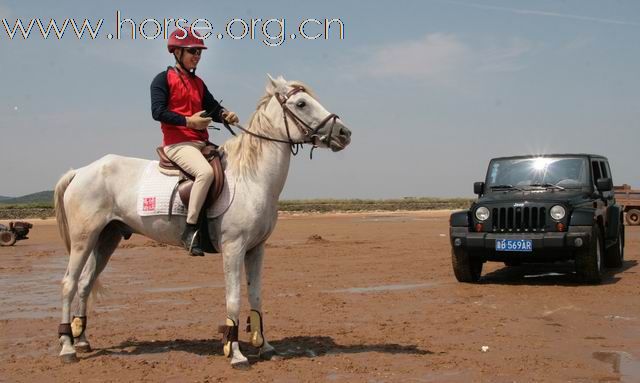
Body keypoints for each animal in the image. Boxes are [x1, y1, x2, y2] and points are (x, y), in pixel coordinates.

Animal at [55, 75, 352, 368]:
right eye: (301, 103)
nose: (344, 133)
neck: (251, 178)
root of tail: (79, 171)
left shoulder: (256, 249)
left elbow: (256, 295)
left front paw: (264, 346)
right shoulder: (233, 248)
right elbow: (233, 299)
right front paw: (235, 353)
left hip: (107, 238)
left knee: (85, 283)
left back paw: (82, 339)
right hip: (84, 239)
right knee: (69, 283)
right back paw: (67, 346)